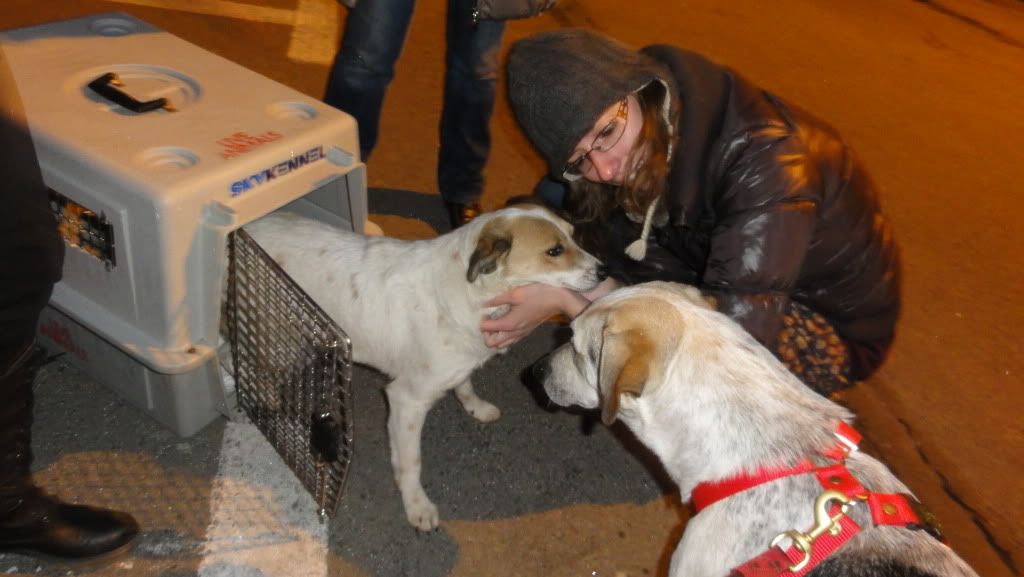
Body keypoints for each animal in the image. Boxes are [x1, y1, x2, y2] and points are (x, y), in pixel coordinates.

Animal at [242, 208, 602, 532]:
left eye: (574, 235)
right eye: (554, 251)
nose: (604, 271)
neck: (469, 291)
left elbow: (464, 384)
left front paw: (475, 407)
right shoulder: (406, 400)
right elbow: (411, 463)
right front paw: (416, 505)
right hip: (273, 334)